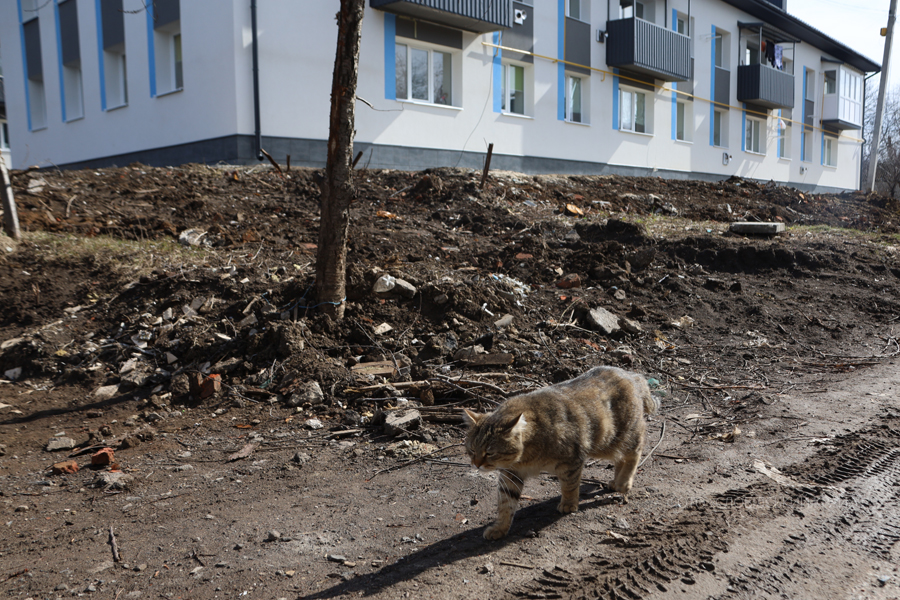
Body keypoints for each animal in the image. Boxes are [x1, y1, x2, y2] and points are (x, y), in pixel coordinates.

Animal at [463, 366, 659, 540]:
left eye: (489, 453)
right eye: (472, 450)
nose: (476, 464)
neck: (526, 455)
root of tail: (632, 374)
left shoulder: (571, 461)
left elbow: (569, 485)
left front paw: (569, 503)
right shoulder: (511, 474)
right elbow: (505, 504)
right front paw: (500, 528)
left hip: (619, 436)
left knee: (635, 451)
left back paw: (624, 482)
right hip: (608, 445)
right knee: (620, 458)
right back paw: (616, 481)